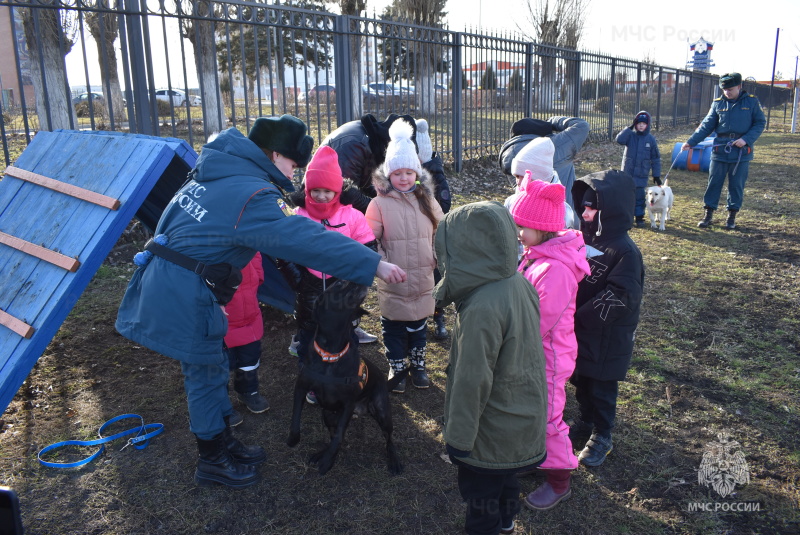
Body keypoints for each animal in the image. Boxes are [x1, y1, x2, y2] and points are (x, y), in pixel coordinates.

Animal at [286, 278, 406, 476]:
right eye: (340, 284)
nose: (361, 279)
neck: (331, 355)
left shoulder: (348, 404)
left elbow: (340, 436)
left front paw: (327, 462)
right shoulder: (301, 388)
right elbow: (295, 417)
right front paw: (294, 439)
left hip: (381, 411)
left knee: (388, 438)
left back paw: (394, 460)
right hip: (327, 414)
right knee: (331, 434)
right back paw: (321, 453)